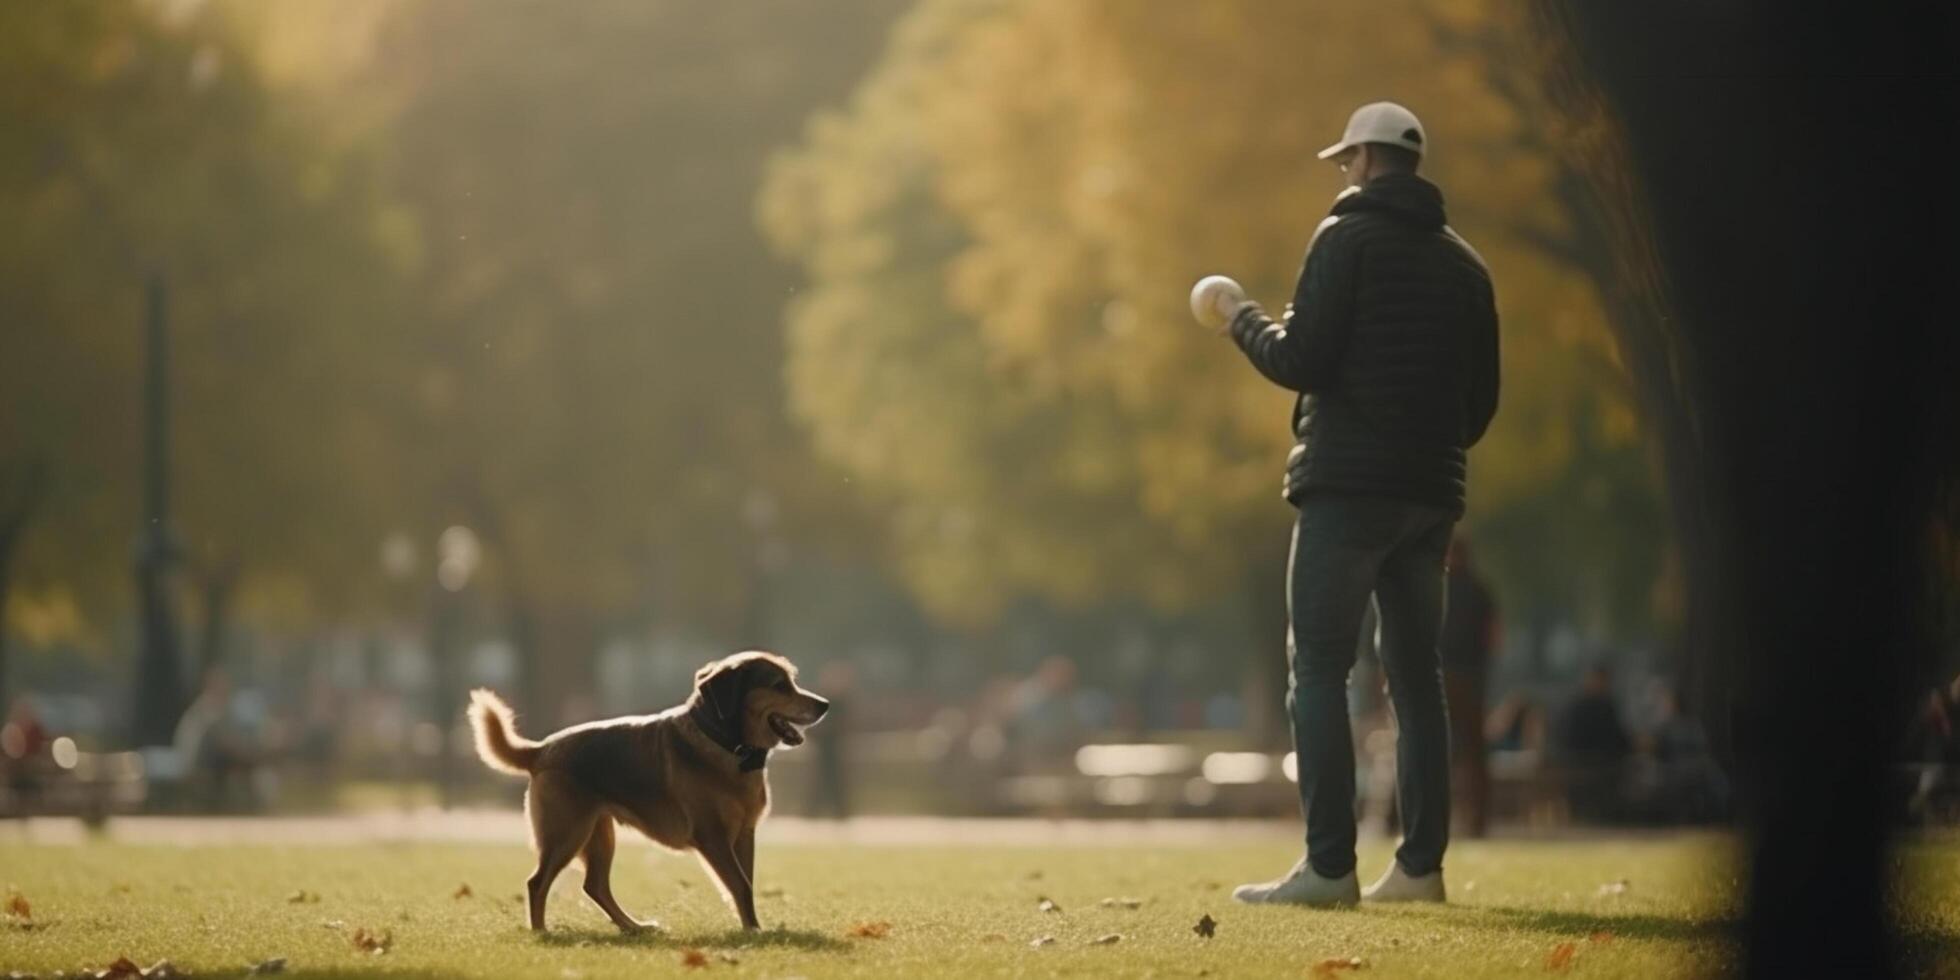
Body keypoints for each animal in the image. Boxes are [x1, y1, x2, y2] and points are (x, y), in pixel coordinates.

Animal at [470, 654, 831, 929]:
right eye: (779, 685)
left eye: (791, 680)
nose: (825, 705)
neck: (726, 745)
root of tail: (542, 749)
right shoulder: (713, 836)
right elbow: (740, 884)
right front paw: (754, 931)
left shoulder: (743, 834)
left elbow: (745, 885)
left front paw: (750, 926)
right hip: (567, 833)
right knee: (538, 883)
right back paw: (541, 931)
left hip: (598, 834)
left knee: (595, 886)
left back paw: (633, 927)